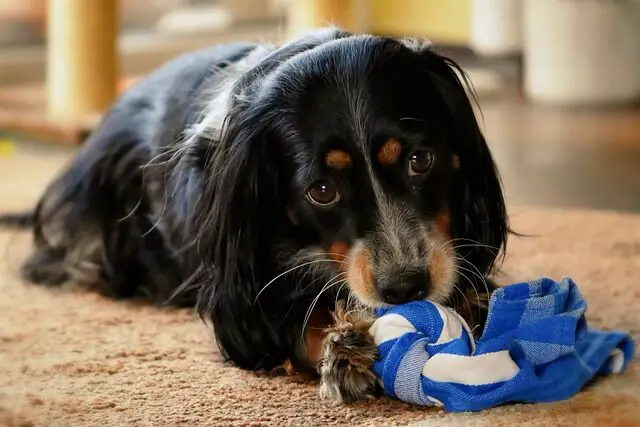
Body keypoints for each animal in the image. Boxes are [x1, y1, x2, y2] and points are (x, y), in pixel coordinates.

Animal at [0, 29, 510, 404]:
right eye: (321, 191)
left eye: (420, 161)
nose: (405, 288)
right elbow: (288, 322)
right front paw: (342, 349)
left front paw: (481, 302)